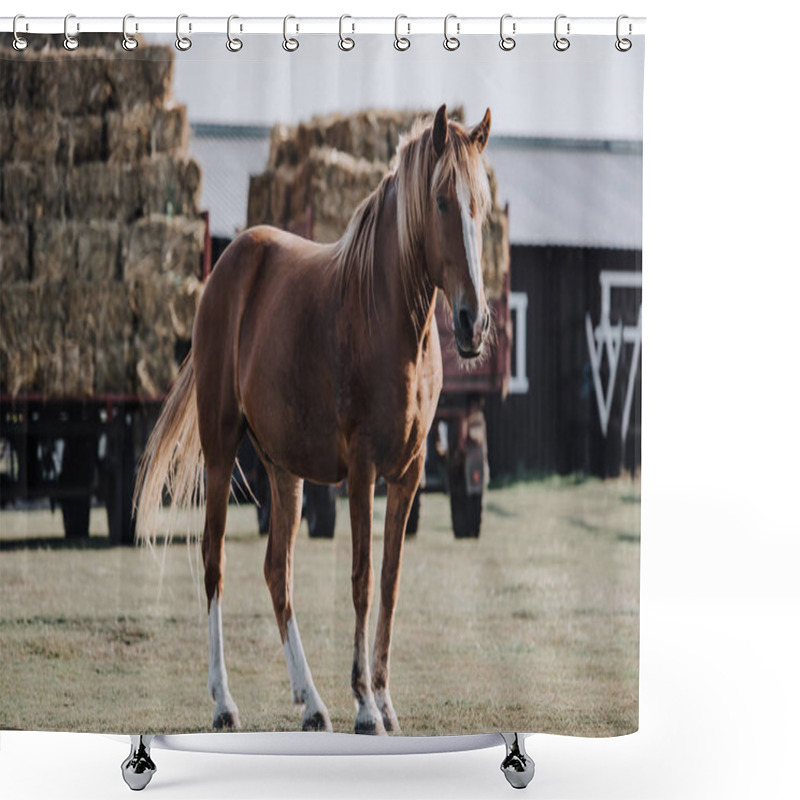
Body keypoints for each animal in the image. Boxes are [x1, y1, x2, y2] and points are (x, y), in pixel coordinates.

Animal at [134, 106, 490, 736]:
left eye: (482, 205)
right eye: (443, 200)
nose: (474, 323)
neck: (387, 317)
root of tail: (228, 266)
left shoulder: (408, 474)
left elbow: (391, 582)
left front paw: (385, 700)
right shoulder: (363, 473)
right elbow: (361, 579)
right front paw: (366, 705)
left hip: (284, 470)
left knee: (278, 572)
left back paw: (311, 701)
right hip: (221, 450)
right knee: (213, 561)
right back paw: (224, 701)